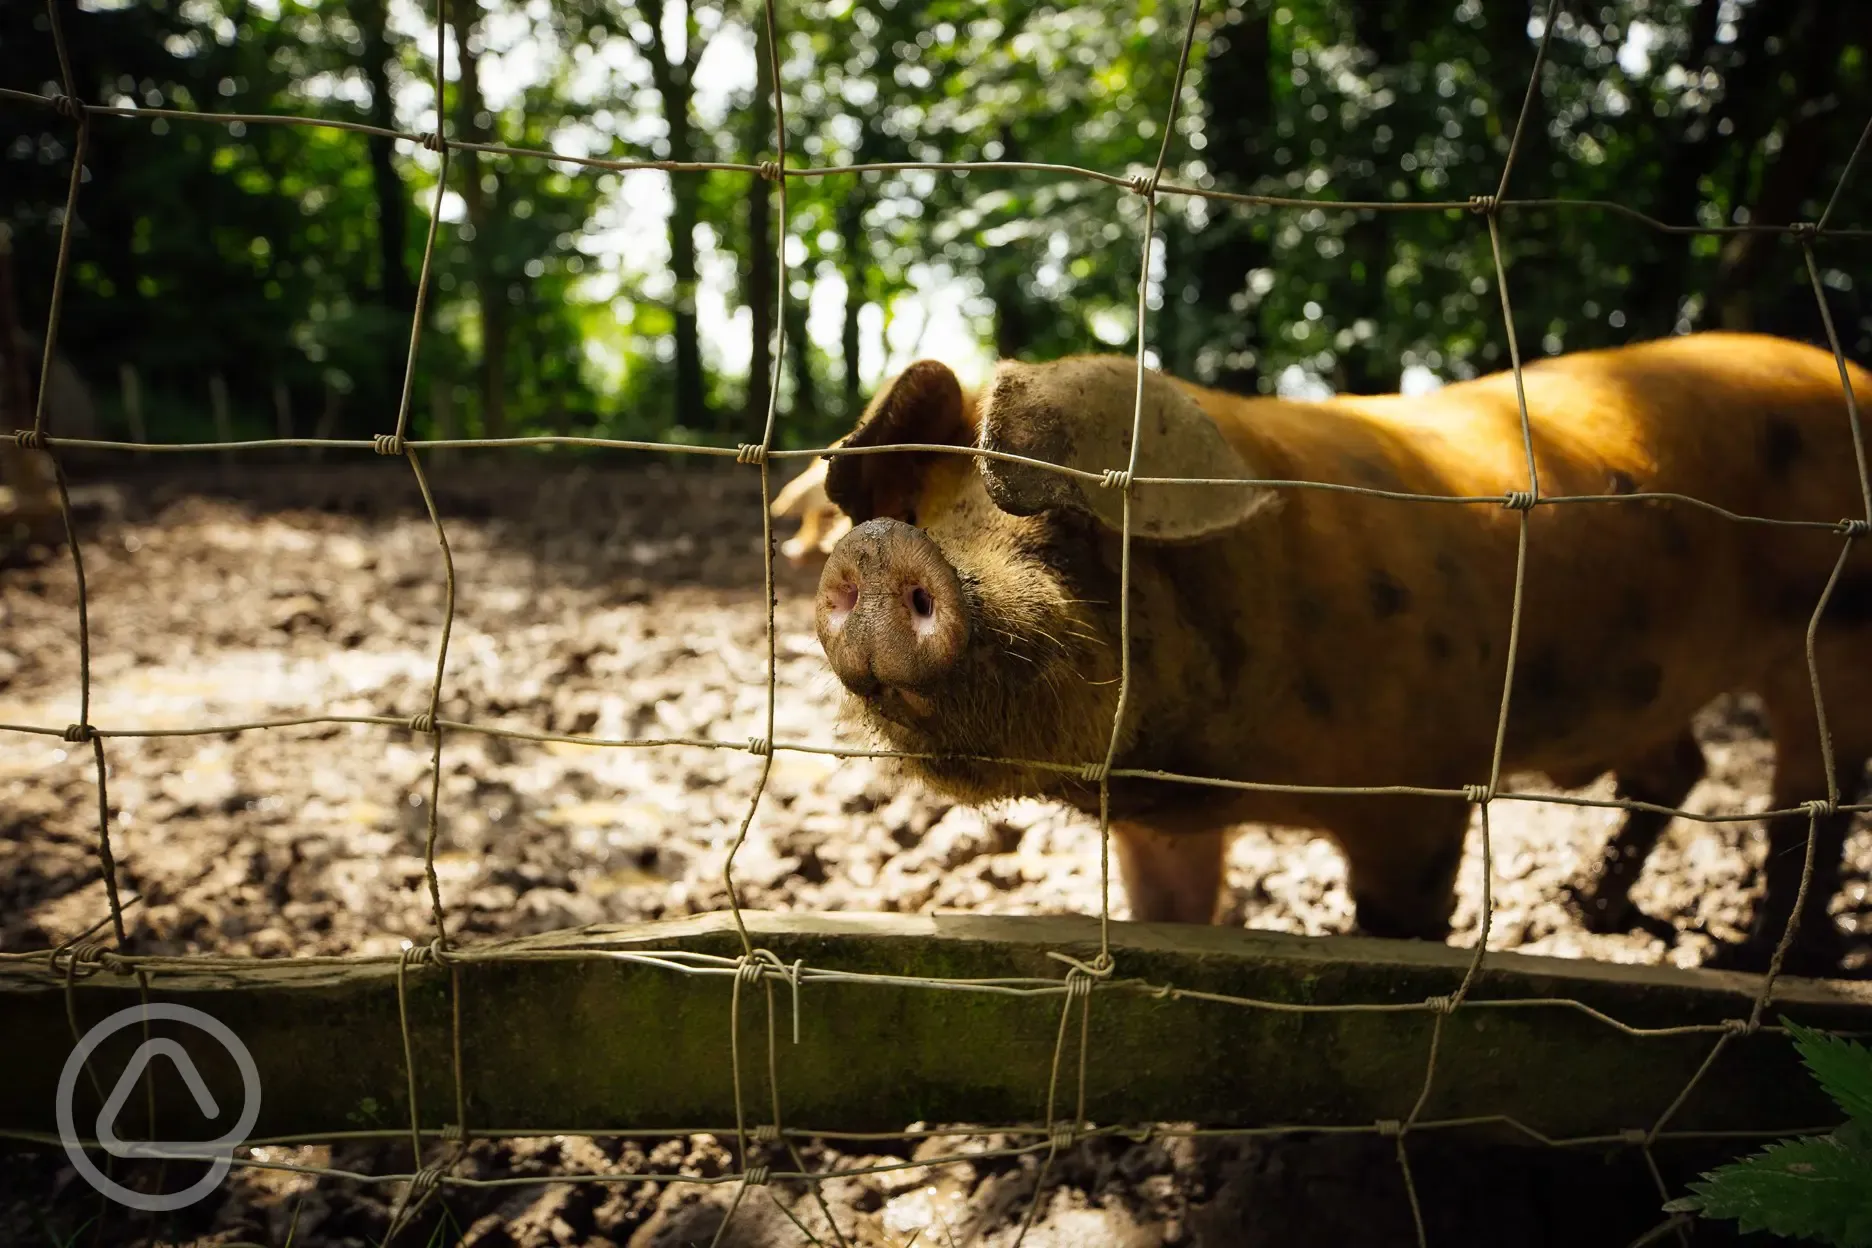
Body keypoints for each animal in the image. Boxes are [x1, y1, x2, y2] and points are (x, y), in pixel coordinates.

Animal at [809, 332, 1872, 977]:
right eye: (918, 512)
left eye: (1070, 527)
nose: (880, 549)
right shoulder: (1157, 827)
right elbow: (1170, 909)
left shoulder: (1420, 794)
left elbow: (1397, 923)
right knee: (1676, 766)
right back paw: (1597, 911)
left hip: (1833, 638)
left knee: (1816, 796)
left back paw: (1754, 959)